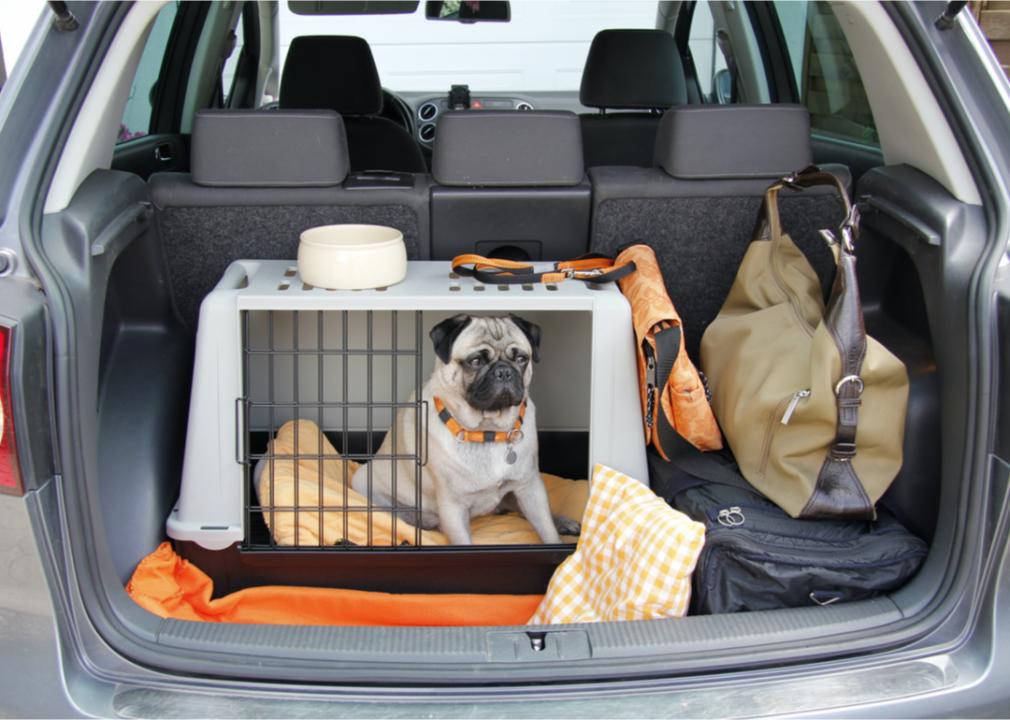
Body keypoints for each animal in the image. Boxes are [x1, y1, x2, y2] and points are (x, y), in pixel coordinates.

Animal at [351, 311, 581, 541]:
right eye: (476, 361)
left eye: (521, 359)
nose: (504, 371)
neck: (489, 430)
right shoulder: (453, 507)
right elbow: (463, 540)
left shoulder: (530, 487)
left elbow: (547, 530)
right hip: (364, 483)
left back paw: (563, 522)